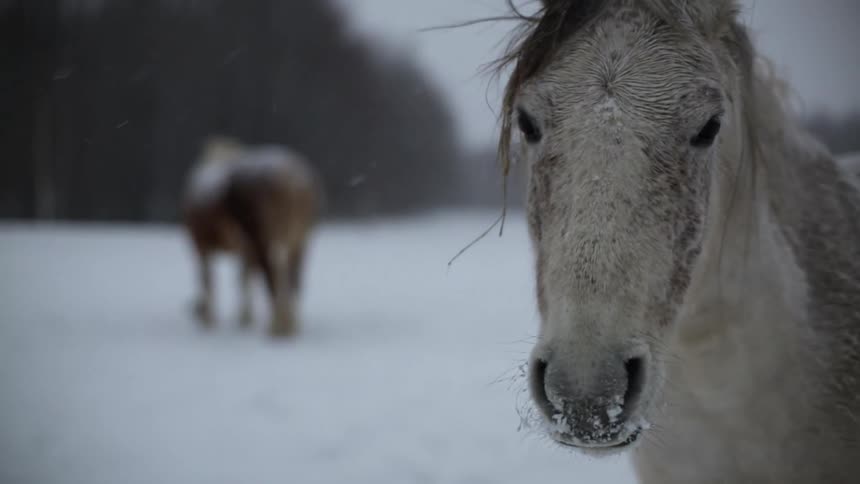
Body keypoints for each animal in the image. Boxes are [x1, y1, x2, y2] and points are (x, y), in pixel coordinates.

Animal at [183, 136, 321, 338]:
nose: (194, 309)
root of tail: (291, 179)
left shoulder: (201, 243)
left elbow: (211, 279)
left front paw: (214, 320)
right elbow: (243, 276)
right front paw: (244, 318)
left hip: (262, 237)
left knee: (272, 275)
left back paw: (276, 327)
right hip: (299, 238)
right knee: (293, 277)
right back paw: (290, 324)